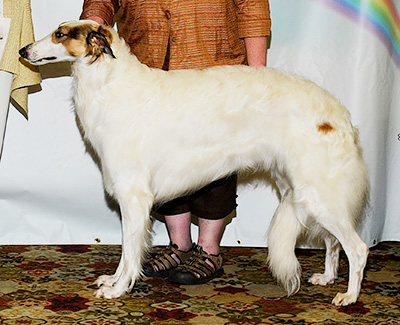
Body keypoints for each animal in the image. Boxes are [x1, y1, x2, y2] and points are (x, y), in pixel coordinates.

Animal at [19, 20, 368, 306]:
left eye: (60, 34)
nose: (23, 50)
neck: (110, 82)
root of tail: (341, 117)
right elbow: (127, 251)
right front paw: (113, 280)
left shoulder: (134, 196)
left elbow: (129, 251)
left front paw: (118, 289)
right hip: (304, 190)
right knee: (333, 242)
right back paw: (328, 277)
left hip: (317, 192)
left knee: (358, 247)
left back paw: (349, 296)